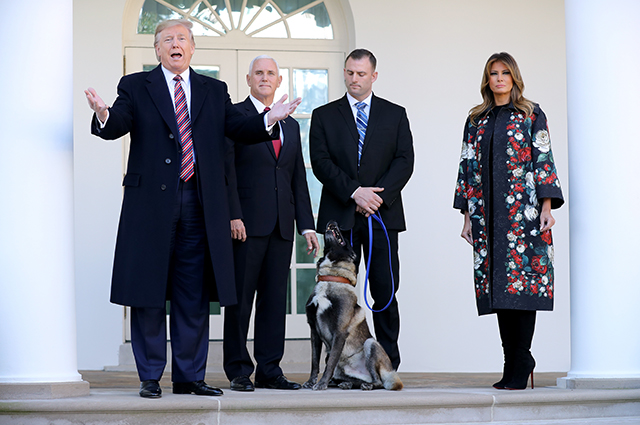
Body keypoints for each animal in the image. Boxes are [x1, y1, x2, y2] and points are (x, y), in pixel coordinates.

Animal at [302, 220, 402, 390]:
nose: (333, 220)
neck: (331, 279)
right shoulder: (313, 331)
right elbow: (315, 362)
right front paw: (311, 381)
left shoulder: (340, 332)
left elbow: (330, 364)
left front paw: (321, 384)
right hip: (342, 369)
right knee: (350, 377)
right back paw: (348, 383)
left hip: (371, 344)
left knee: (378, 381)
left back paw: (367, 385)